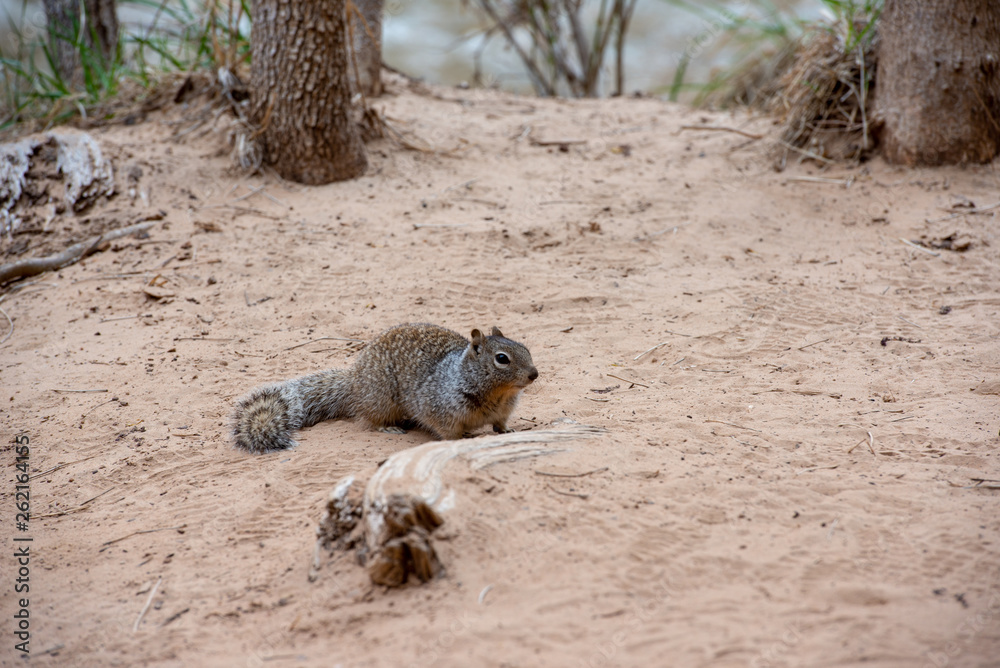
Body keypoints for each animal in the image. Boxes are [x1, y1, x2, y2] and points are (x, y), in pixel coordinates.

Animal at [232, 323, 538, 454]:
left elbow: (500, 425)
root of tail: (354, 380)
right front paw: (462, 438)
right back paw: (388, 427)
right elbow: (448, 433)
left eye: (525, 348)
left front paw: (508, 431)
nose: (535, 374)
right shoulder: (440, 409)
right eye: (502, 359)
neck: (496, 394)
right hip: (382, 400)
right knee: (371, 419)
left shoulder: (502, 411)